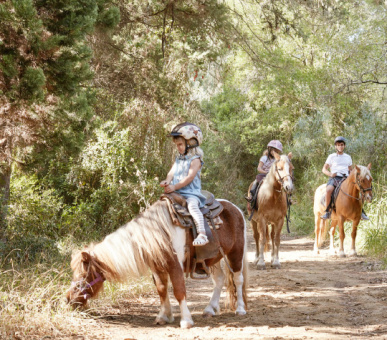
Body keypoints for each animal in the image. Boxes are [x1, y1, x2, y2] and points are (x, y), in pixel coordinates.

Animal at [66, 198, 249, 328]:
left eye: (83, 275)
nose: (68, 299)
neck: (157, 234)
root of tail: (235, 208)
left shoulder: (175, 266)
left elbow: (179, 291)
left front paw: (186, 320)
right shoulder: (157, 268)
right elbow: (161, 290)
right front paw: (163, 316)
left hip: (235, 254)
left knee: (238, 280)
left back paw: (240, 309)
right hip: (213, 260)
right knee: (219, 280)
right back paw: (210, 309)